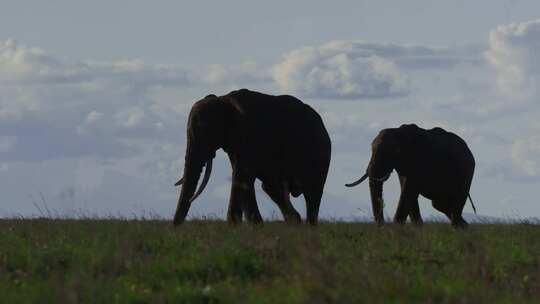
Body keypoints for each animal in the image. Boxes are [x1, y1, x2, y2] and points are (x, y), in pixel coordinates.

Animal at [175, 88, 332, 226]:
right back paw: (294, 221)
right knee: (271, 188)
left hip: (319, 154)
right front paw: (248, 225)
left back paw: (309, 226)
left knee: (312, 193)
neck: (223, 100)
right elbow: (241, 175)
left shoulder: (251, 136)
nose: (175, 228)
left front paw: (238, 226)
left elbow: (242, 175)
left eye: (206, 131)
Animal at [346, 124, 476, 228]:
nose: (381, 226)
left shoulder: (419, 160)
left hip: (466, 171)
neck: (399, 132)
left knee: (455, 201)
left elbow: (408, 192)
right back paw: (464, 226)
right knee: (439, 204)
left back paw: (457, 227)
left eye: (391, 152)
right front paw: (417, 227)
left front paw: (397, 228)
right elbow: (408, 192)